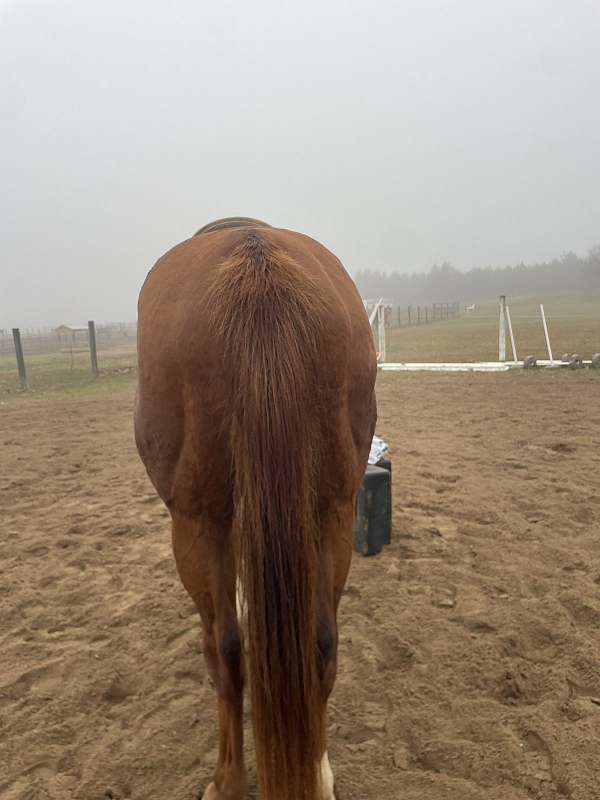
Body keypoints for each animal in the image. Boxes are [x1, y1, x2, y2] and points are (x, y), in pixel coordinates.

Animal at [134, 218, 377, 800]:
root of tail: (258, 270)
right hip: (333, 513)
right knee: (321, 644)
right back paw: (318, 774)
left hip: (197, 525)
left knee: (225, 649)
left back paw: (227, 781)